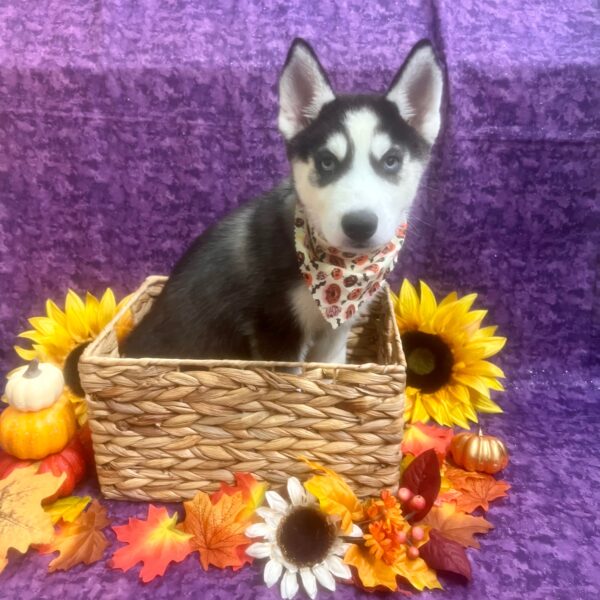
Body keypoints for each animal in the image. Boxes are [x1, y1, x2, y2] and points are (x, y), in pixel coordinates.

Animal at [122, 39, 442, 366]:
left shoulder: (334, 335)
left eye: (391, 161)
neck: (340, 270)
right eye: (326, 162)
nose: (359, 225)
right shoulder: (277, 332)